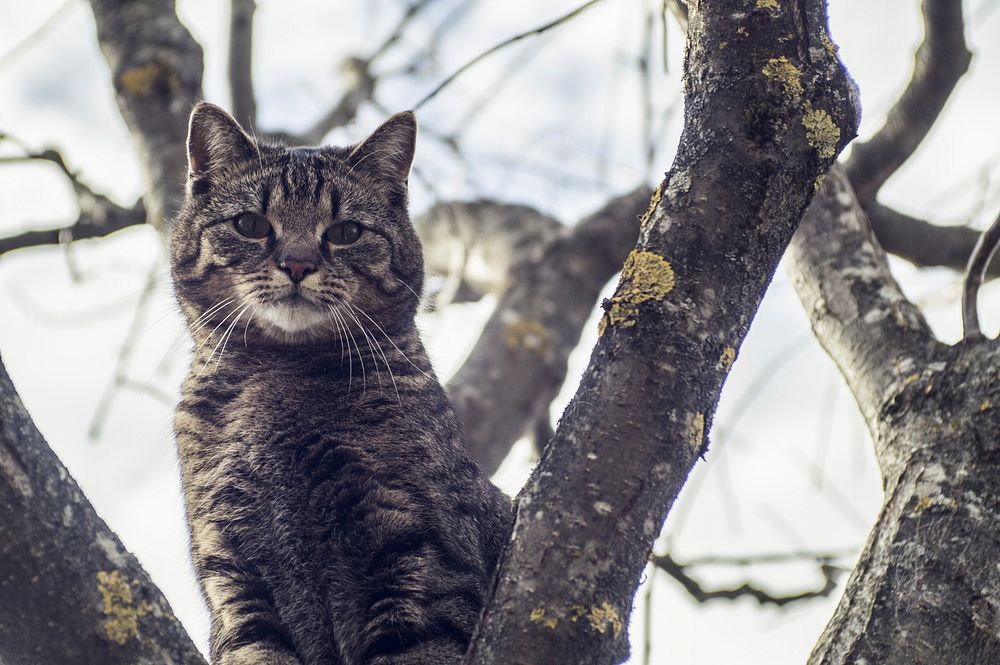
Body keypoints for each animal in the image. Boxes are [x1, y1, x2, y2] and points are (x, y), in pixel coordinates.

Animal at [171, 104, 512, 664]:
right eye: (250, 224)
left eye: (346, 231)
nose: (297, 263)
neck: (279, 376)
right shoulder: (233, 578)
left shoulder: (419, 553)